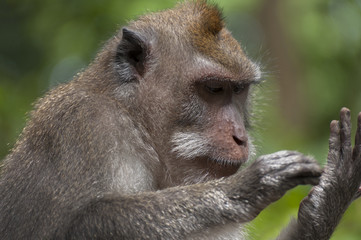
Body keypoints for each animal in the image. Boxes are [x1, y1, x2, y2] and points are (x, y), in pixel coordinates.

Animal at [0, 0, 358, 239]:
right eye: (214, 89)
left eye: (239, 91)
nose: (240, 137)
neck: (138, 125)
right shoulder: (86, 126)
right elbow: (79, 223)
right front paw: (240, 190)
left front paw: (328, 201)